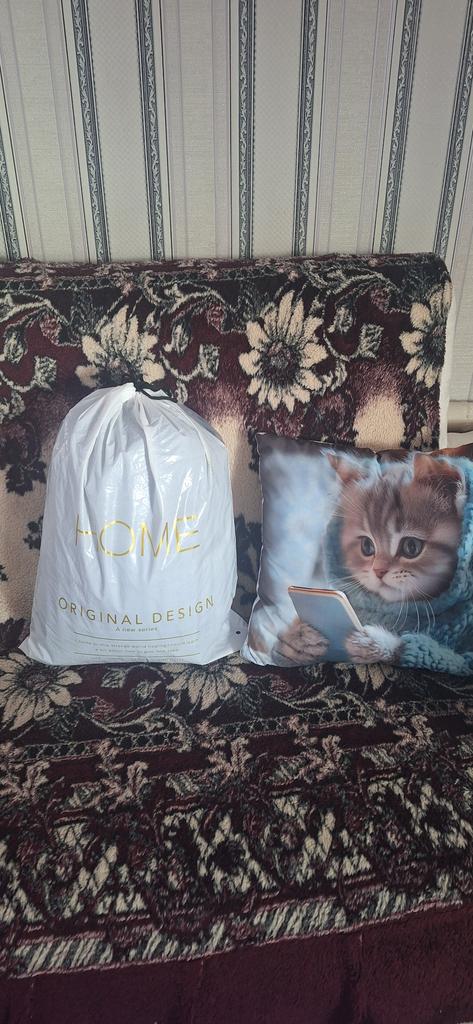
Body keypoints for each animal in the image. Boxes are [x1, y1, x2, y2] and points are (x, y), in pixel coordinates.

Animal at [277, 452, 466, 666]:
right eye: (367, 546)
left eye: (411, 547)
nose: (379, 571)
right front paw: (297, 639)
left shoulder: (462, 660)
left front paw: (377, 643)